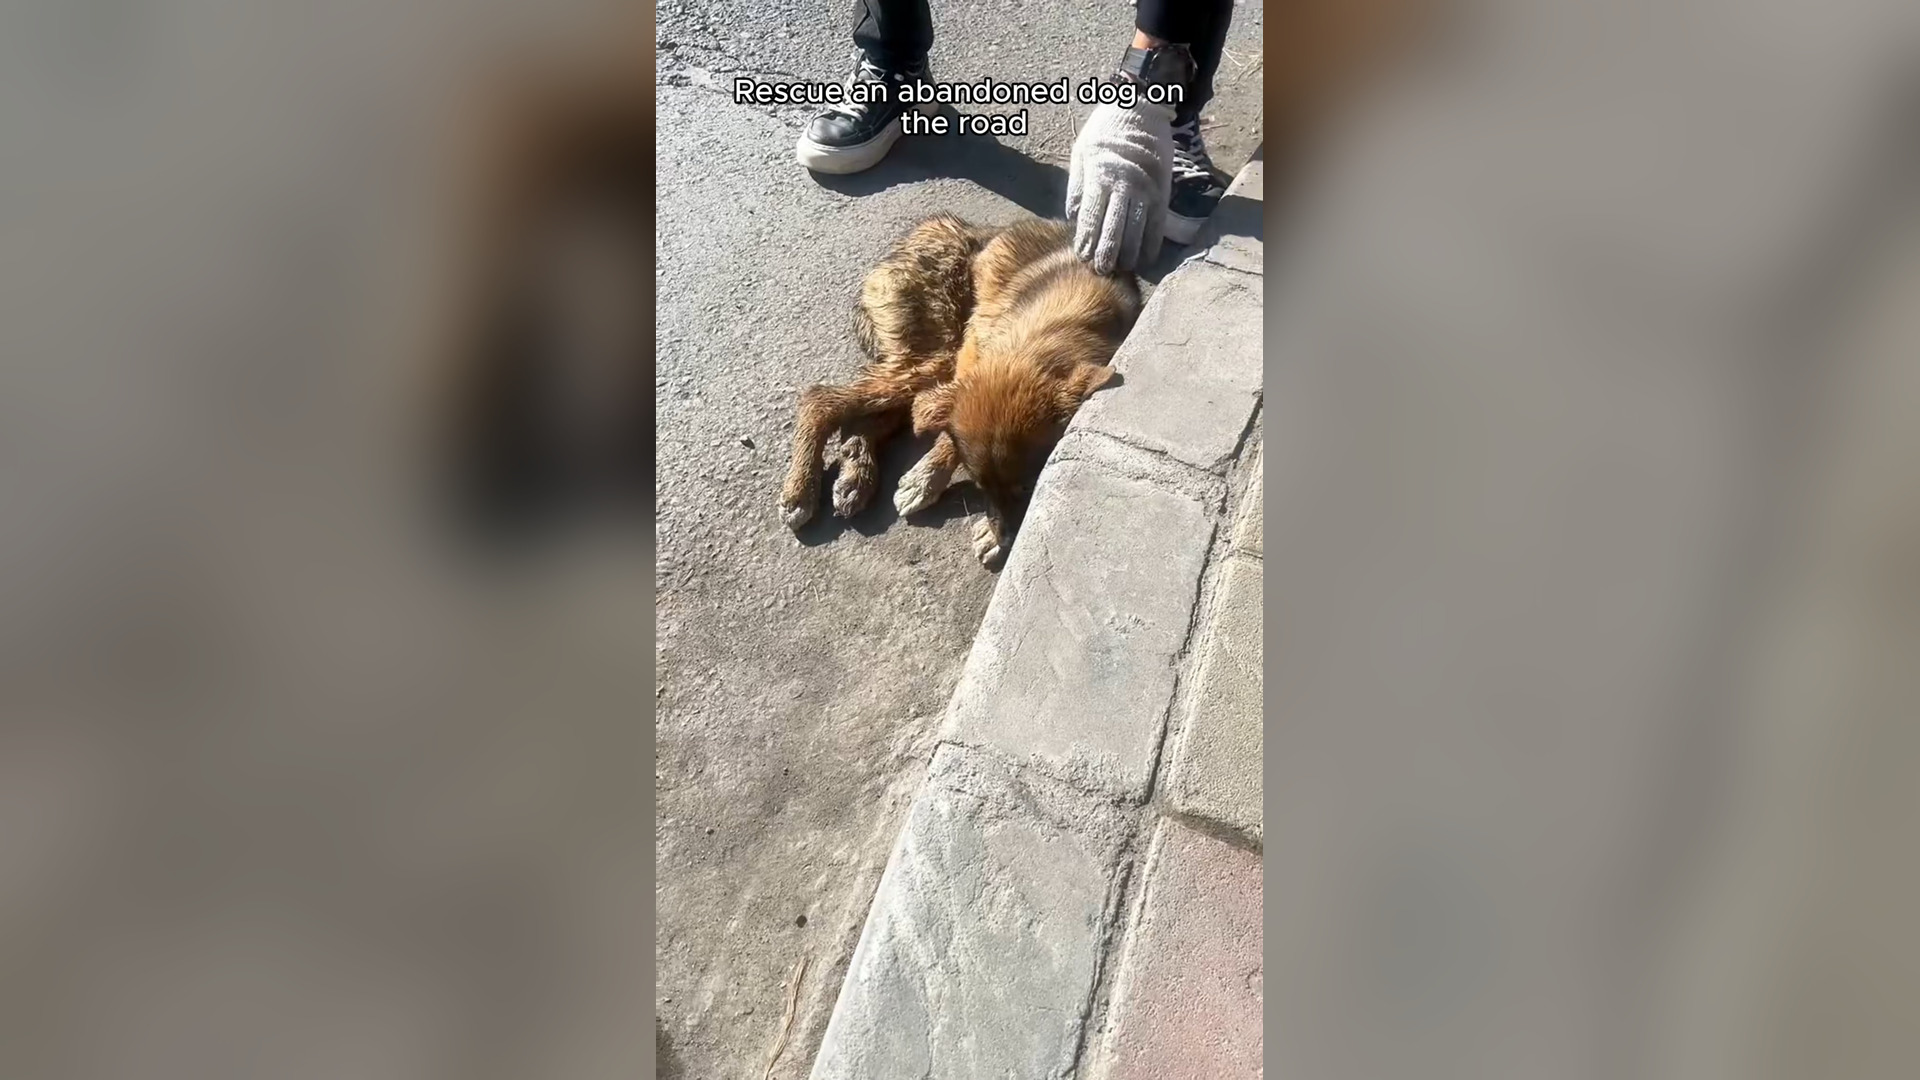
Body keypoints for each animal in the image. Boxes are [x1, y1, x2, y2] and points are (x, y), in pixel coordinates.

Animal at [780, 215, 1140, 566]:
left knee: (867, 414)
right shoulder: (971, 356)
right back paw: (802, 489)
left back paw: (856, 474)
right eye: (980, 486)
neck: (1049, 335)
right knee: (821, 398)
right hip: (936, 351)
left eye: (1028, 487)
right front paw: (928, 476)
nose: (1006, 540)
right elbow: (949, 431)